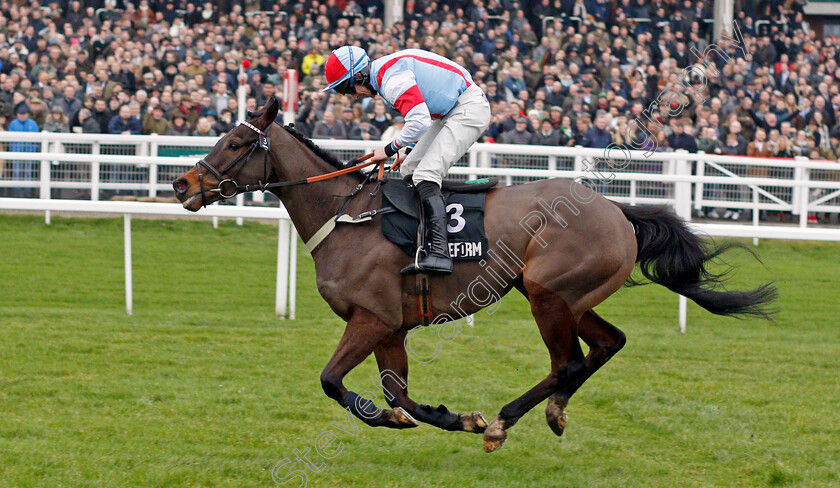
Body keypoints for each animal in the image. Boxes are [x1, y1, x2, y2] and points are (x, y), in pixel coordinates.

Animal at [171, 97, 776, 452]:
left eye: (235, 142)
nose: (182, 184)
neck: (347, 214)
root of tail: (617, 211)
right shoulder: (391, 327)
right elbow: (399, 394)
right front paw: (449, 418)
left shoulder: (370, 318)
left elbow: (332, 381)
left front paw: (454, 420)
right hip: (569, 297)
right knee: (606, 345)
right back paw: (551, 412)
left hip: (548, 294)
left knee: (568, 361)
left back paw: (507, 420)